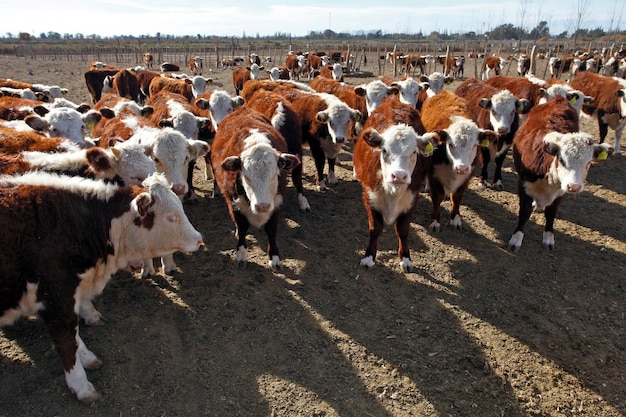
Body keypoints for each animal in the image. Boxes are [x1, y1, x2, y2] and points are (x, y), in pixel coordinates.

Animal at [0, 171, 201, 402]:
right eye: (171, 217)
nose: (199, 239)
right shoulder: (57, 299)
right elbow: (67, 342)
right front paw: (81, 385)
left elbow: (75, 334)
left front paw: (87, 357)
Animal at [352, 97, 434, 272]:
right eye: (384, 150)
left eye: (414, 152)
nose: (399, 175)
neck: (393, 192)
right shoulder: (369, 195)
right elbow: (375, 229)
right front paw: (369, 257)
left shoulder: (412, 198)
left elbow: (403, 230)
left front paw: (406, 258)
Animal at [420, 89, 498, 231]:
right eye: (450, 144)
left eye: (474, 146)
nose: (461, 168)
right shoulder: (434, 173)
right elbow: (437, 197)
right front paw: (435, 222)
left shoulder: (468, 174)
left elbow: (457, 197)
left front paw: (455, 219)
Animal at [504, 94, 612, 250]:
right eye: (561, 159)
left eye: (589, 162)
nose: (574, 187)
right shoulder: (524, 183)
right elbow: (524, 213)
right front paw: (516, 238)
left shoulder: (561, 190)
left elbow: (551, 213)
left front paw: (549, 238)